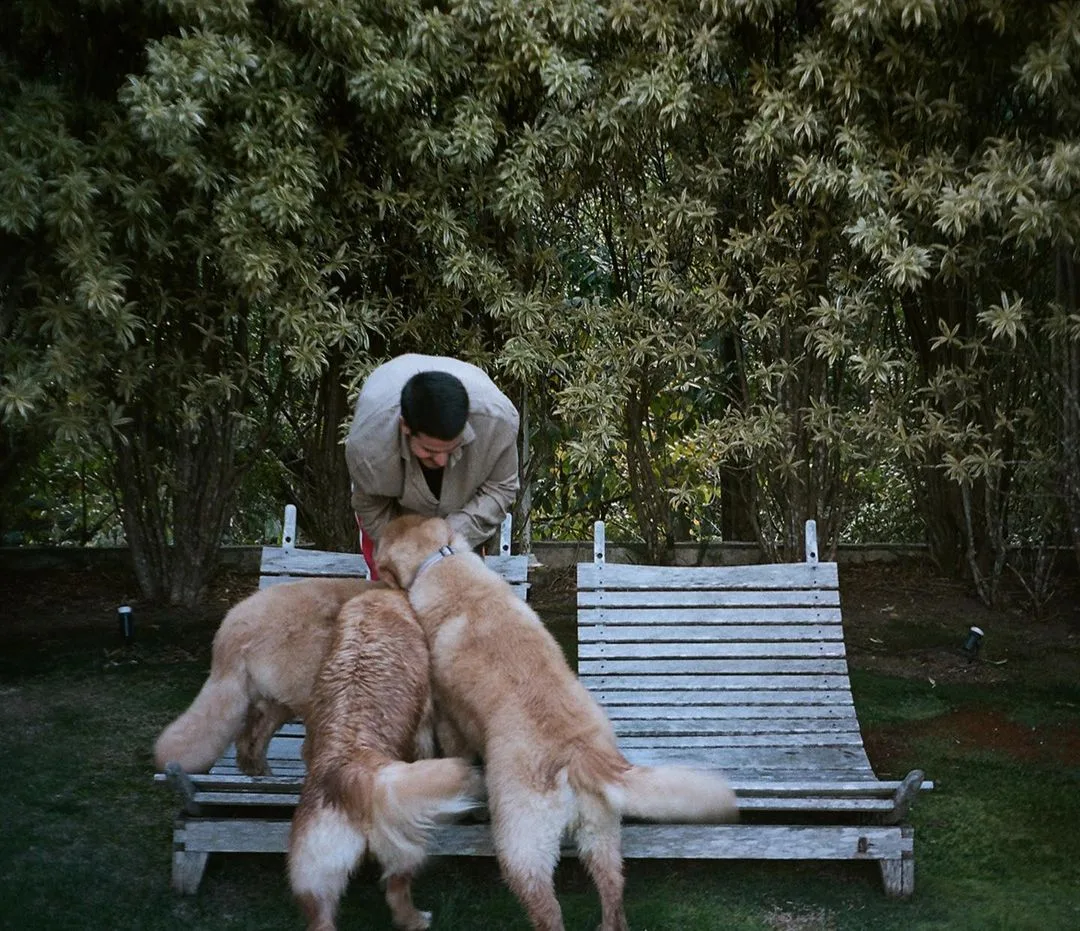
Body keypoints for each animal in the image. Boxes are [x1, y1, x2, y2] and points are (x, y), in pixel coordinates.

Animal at [150, 578, 373, 777]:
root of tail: (233, 625)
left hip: (272, 700)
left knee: (251, 738)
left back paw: (259, 771)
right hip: (309, 689)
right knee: (304, 747)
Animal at [287, 591, 481, 931]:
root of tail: (349, 773)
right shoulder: (424, 719)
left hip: (314, 873)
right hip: (403, 842)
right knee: (396, 890)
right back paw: (417, 919)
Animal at [375, 518, 738, 931]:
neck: (443, 561)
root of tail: (582, 754)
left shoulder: (452, 721)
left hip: (522, 847)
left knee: (549, 912)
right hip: (601, 835)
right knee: (613, 894)